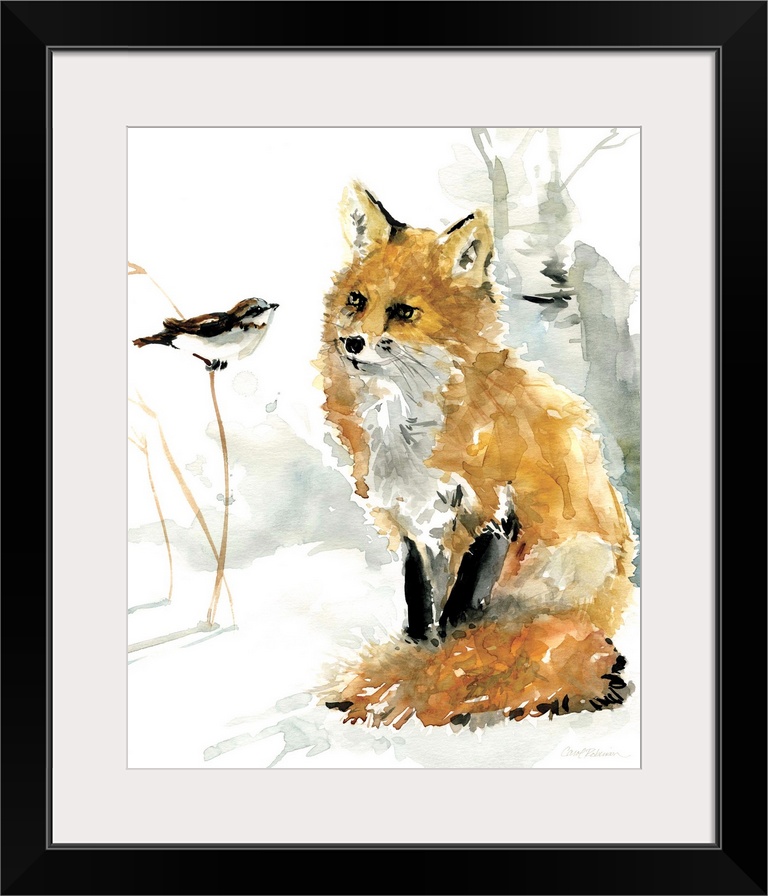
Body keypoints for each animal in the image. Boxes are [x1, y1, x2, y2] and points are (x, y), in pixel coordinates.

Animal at [317, 182, 637, 729]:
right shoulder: (416, 526)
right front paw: (421, 657)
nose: (351, 342)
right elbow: (422, 614)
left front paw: (438, 670)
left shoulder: (494, 512)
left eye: (404, 312)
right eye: (357, 300)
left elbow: (460, 616)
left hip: (570, 564)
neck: (406, 425)